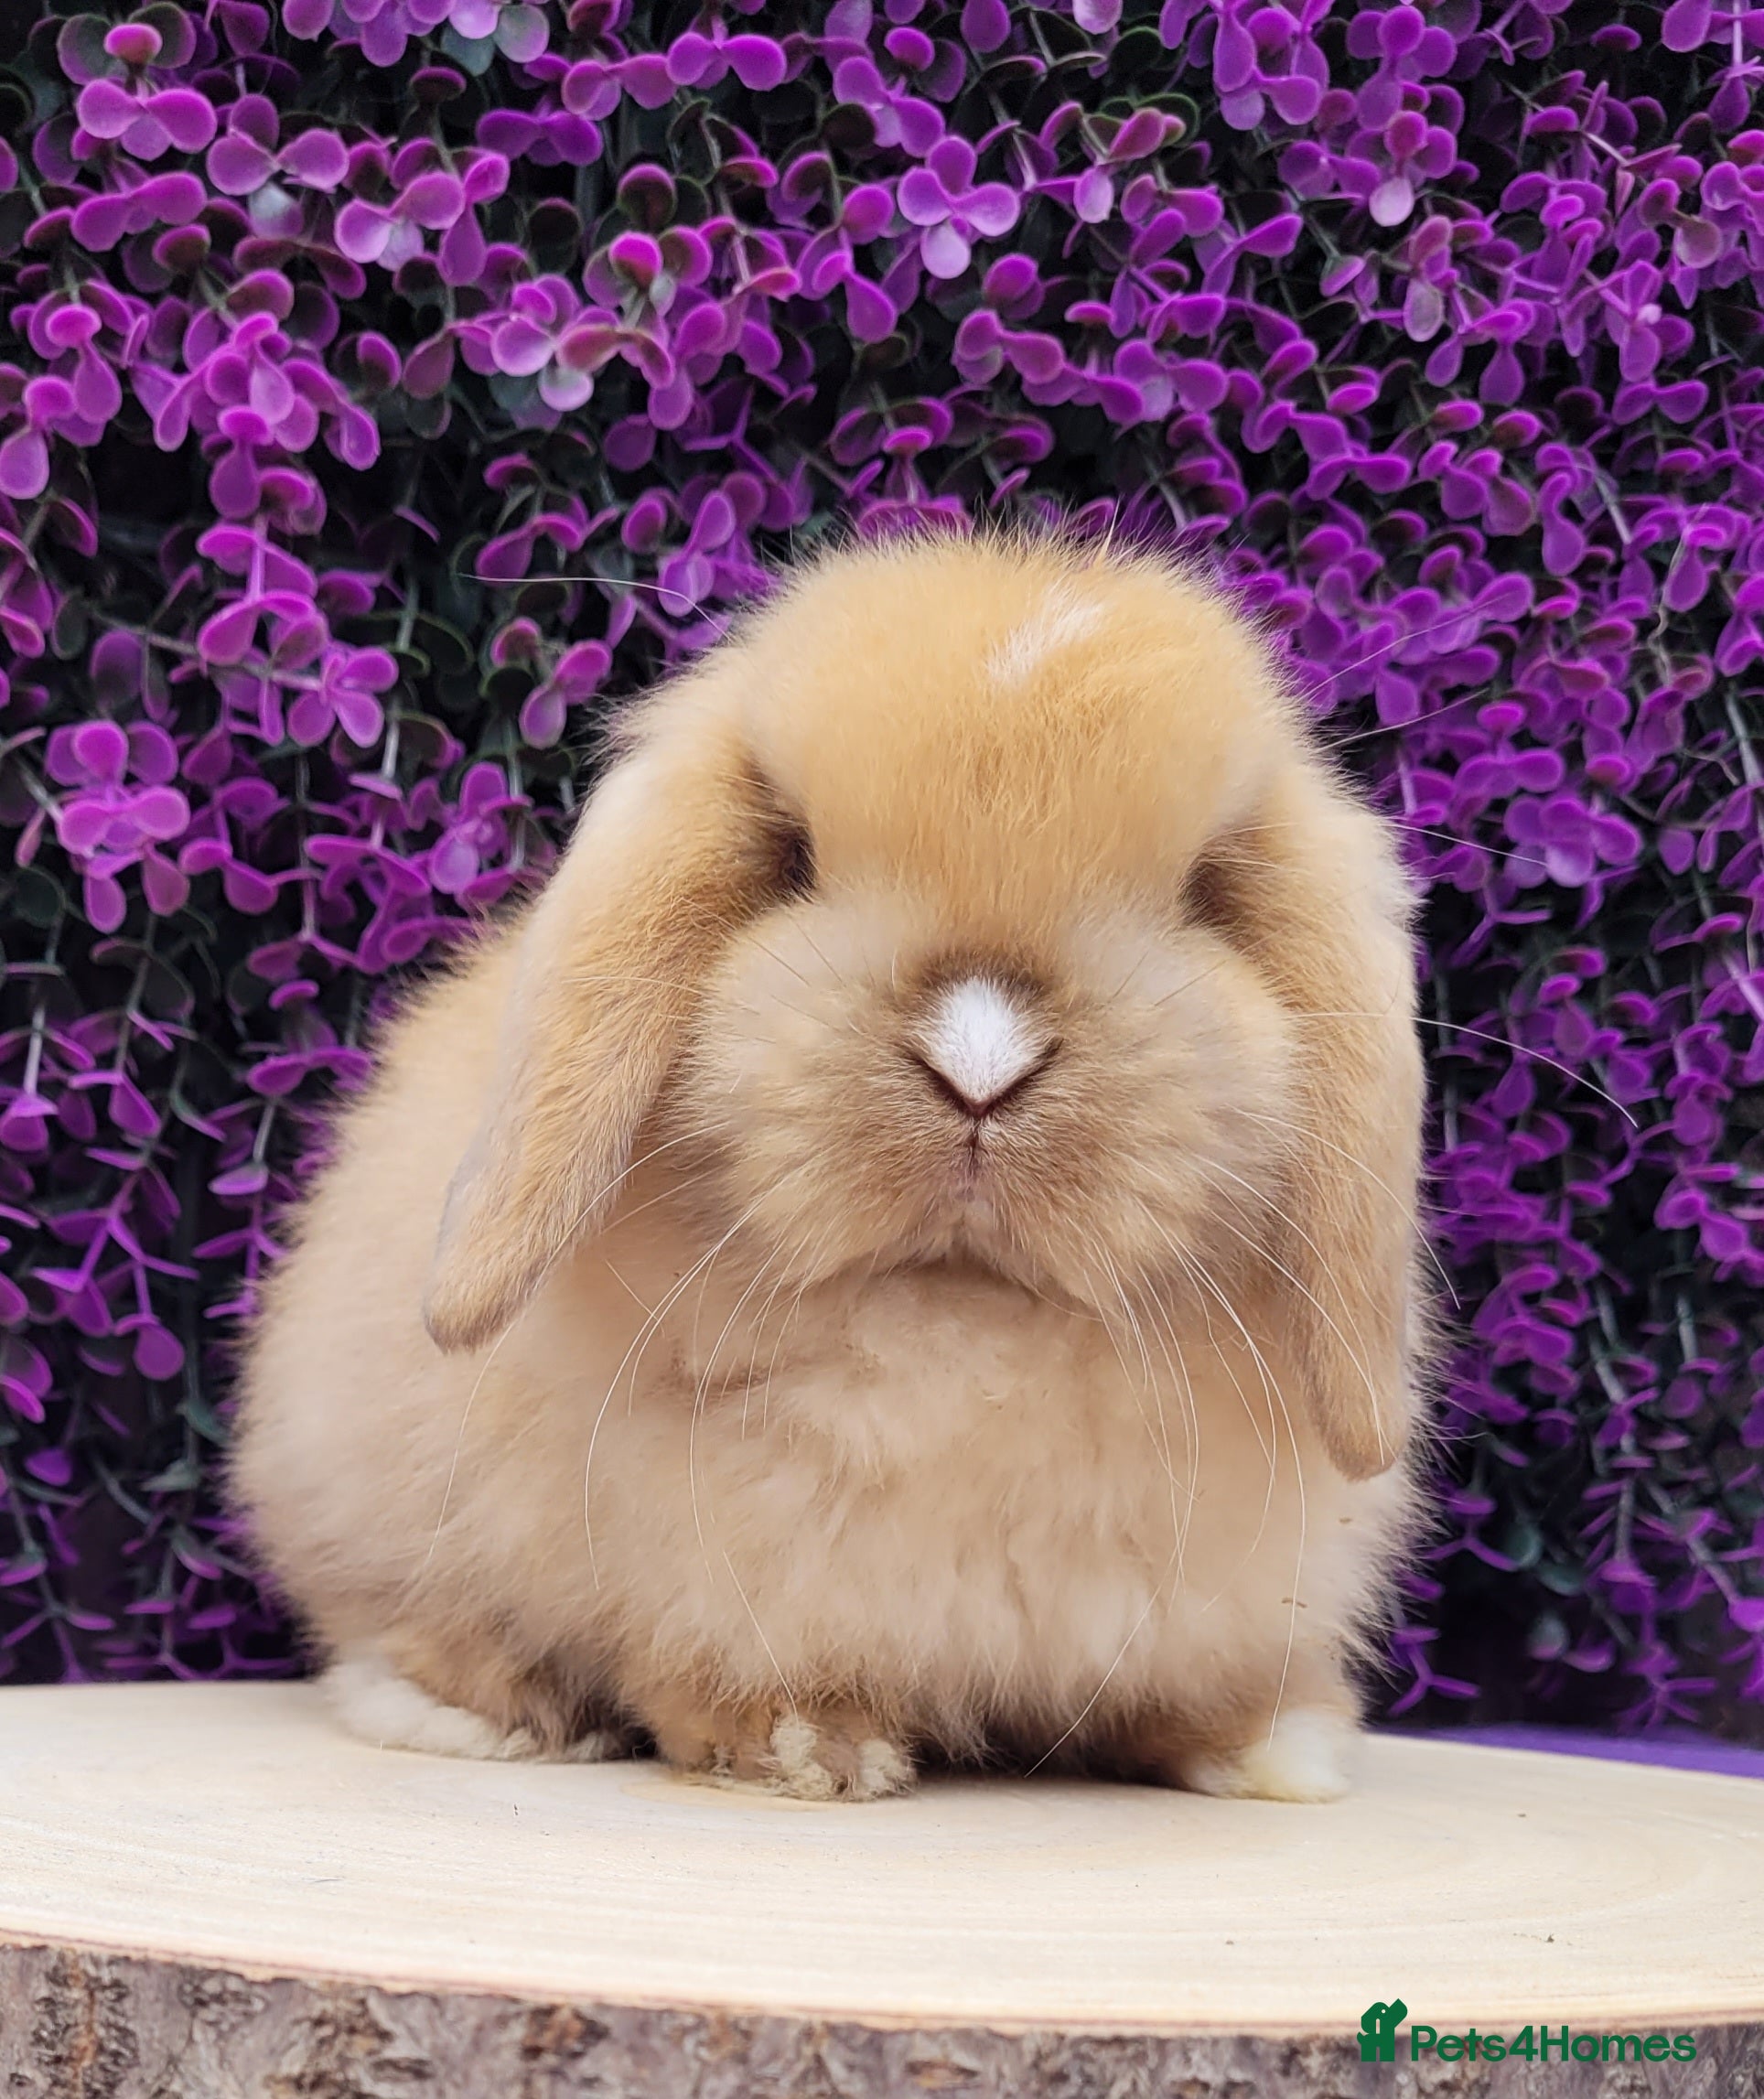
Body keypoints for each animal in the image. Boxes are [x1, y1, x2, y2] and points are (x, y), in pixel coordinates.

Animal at [231, 530, 1431, 1805]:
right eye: (791, 856)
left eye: (1205, 888)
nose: (978, 1061)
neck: (957, 1330)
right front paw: (807, 1746)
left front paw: (1272, 1747)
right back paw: (483, 1714)